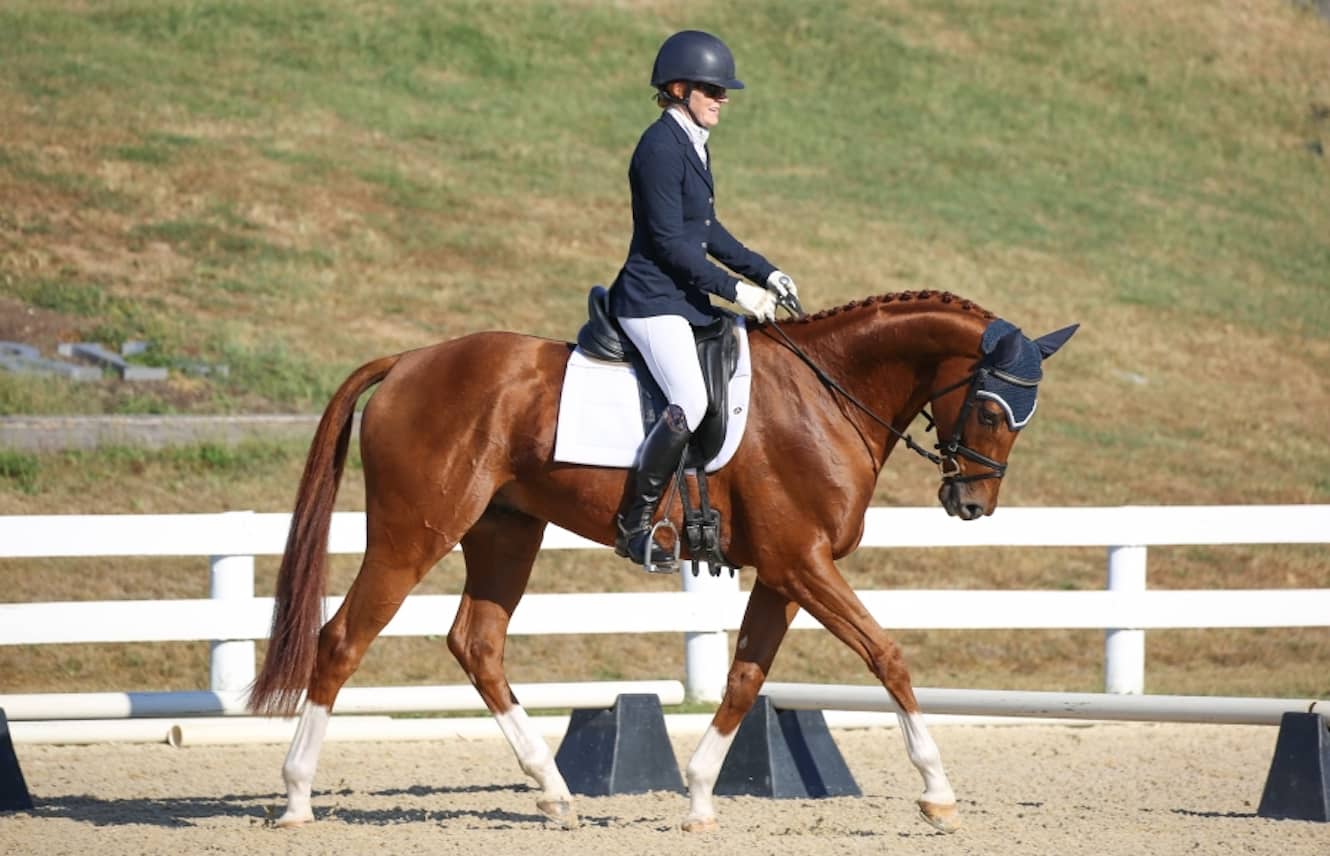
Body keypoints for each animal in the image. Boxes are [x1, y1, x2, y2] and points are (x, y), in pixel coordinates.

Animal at [251, 285, 1079, 829]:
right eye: (989, 408)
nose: (972, 504)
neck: (827, 394)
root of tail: (408, 361)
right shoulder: (804, 564)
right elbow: (887, 655)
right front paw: (937, 791)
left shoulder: (783, 574)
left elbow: (745, 678)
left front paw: (701, 795)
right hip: (412, 533)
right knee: (343, 639)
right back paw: (295, 798)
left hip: (506, 532)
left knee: (477, 643)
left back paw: (555, 793)